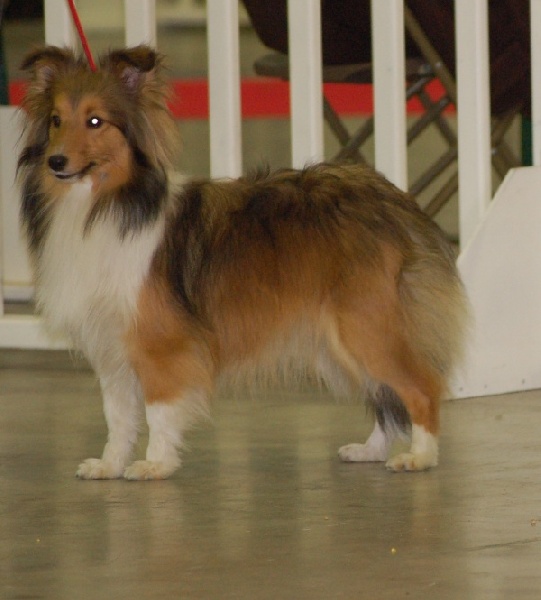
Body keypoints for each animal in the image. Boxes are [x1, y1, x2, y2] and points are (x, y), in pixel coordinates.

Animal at [17, 44, 468, 480]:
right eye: (56, 120)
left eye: (95, 121)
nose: (56, 162)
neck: (106, 204)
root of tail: (395, 200)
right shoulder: (112, 348)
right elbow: (119, 417)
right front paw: (109, 464)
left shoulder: (159, 343)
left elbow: (159, 410)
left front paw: (155, 464)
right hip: (342, 338)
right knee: (383, 393)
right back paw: (371, 450)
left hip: (365, 326)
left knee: (421, 387)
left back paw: (420, 456)